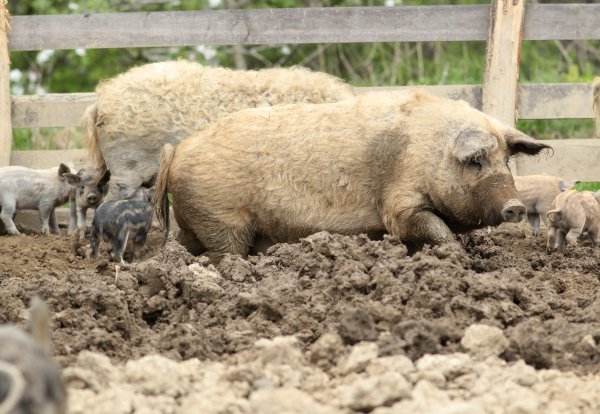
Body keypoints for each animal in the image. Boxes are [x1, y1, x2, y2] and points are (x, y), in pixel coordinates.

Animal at [156, 89, 552, 264]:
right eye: (476, 162)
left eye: (506, 161)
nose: (516, 206)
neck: (429, 151)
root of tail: (176, 149)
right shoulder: (398, 203)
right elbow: (429, 226)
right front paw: (457, 257)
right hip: (223, 220)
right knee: (224, 254)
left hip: (198, 221)